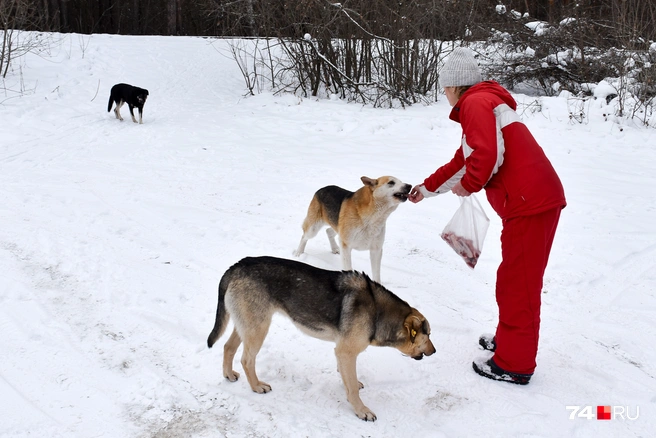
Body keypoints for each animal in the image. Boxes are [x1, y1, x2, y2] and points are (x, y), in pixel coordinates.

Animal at [208, 256, 436, 420]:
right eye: (428, 335)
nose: (434, 352)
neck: (378, 311)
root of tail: (237, 266)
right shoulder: (346, 352)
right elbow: (352, 388)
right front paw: (361, 410)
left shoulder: (342, 352)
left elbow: (347, 377)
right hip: (258, 328)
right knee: (247, 359)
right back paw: (256, 386)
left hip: (247, 326)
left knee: (228, 347)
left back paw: (228, 374)